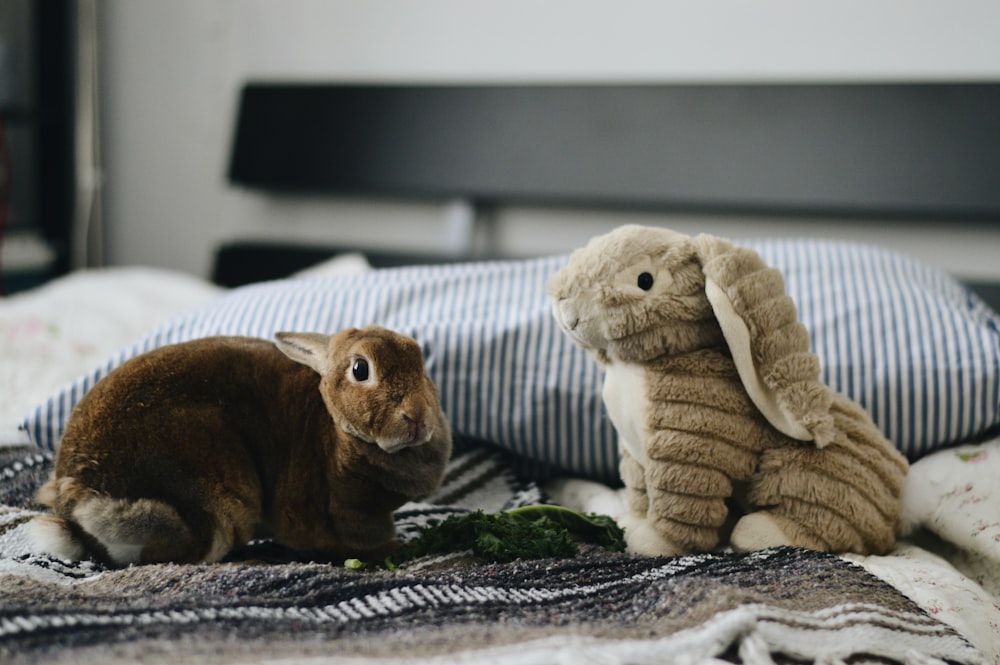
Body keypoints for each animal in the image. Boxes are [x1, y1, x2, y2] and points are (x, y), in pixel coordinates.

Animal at [27, 324, 452, 564]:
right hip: (218, 498)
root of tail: (77, 497)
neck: (335, 428)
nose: (417, 418)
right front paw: (392, 551)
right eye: (361, 369)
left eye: (420, 362)